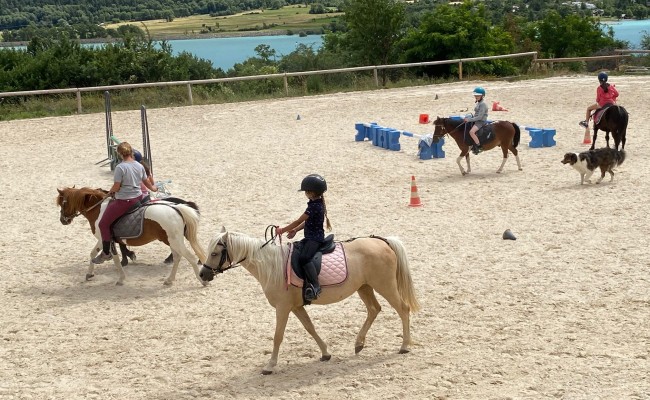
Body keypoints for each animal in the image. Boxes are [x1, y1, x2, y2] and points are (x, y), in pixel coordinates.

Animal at [58, 186, 206, 286]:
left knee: (190, 257)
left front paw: (121, 278)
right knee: (177, 257)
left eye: (63, 203)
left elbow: (115, 259)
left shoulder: (105, 238)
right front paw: (90, 273)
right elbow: (94, 253)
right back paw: (169, 279)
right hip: (171, 241)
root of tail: (176, 208)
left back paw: (202, 280)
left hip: (175, 241)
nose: (63, 220)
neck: (99, 210)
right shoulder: (105, 240)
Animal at [199, 228, 420, 376]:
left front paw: (270, 365)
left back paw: (404, 346)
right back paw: (359, 344)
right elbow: (310, 328)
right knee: (374, 309)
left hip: (385, 286)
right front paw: (325, 353)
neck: (271, 265)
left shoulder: (283, 308)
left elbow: (278, 336)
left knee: (403, 309)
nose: (203, 274)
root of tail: (383, 241)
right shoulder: (296, 307)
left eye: (214, 253)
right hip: (364, 287)